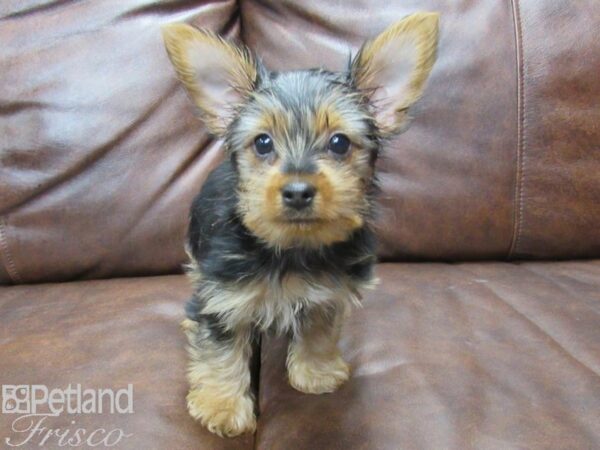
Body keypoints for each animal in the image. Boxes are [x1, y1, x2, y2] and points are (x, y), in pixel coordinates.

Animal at [162, 12, 438, 438]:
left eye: (340, 143)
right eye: (262, 143)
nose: (297, 191)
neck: (291, 247)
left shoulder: (328, 292)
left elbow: (319, 329)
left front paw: (316, 372)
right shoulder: (223, 296)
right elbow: (221, 346)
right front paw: (221, 406)